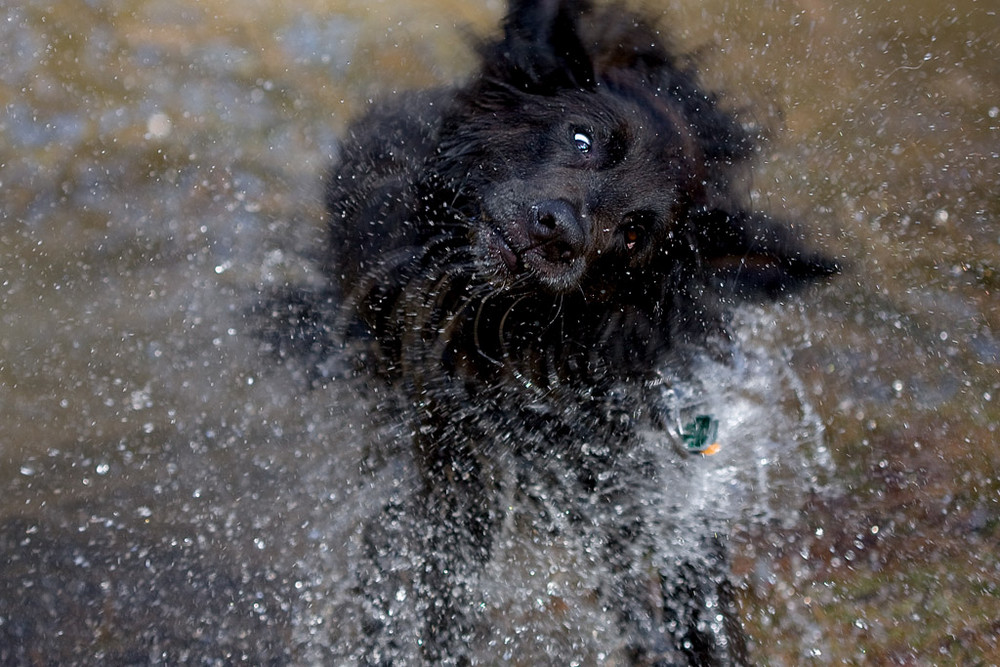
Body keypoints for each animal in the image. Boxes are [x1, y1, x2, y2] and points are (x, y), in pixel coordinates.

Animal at [276, 2, 836, 664]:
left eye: (634, 235)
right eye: (582, 138)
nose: (559, 232)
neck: (527, 343)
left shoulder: (651, 483)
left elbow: (696, 602)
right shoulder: (458, 465)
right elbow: (440, 602)